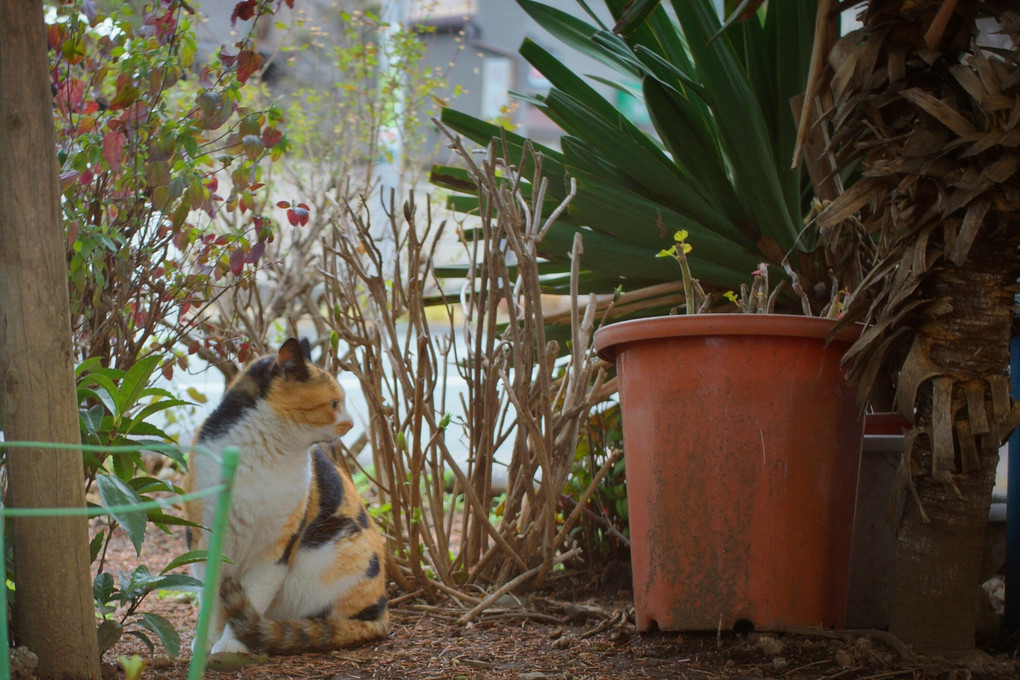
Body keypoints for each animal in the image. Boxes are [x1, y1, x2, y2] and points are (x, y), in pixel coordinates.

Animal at [181, 338, 387, 652]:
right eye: (334, 403)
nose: (351, 423)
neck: (264, 454)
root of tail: (383, 615)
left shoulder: (277, 549)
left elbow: (252, 596)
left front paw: (230, 646)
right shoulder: (202, 538)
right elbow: (210, 601)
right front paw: (206, 644)